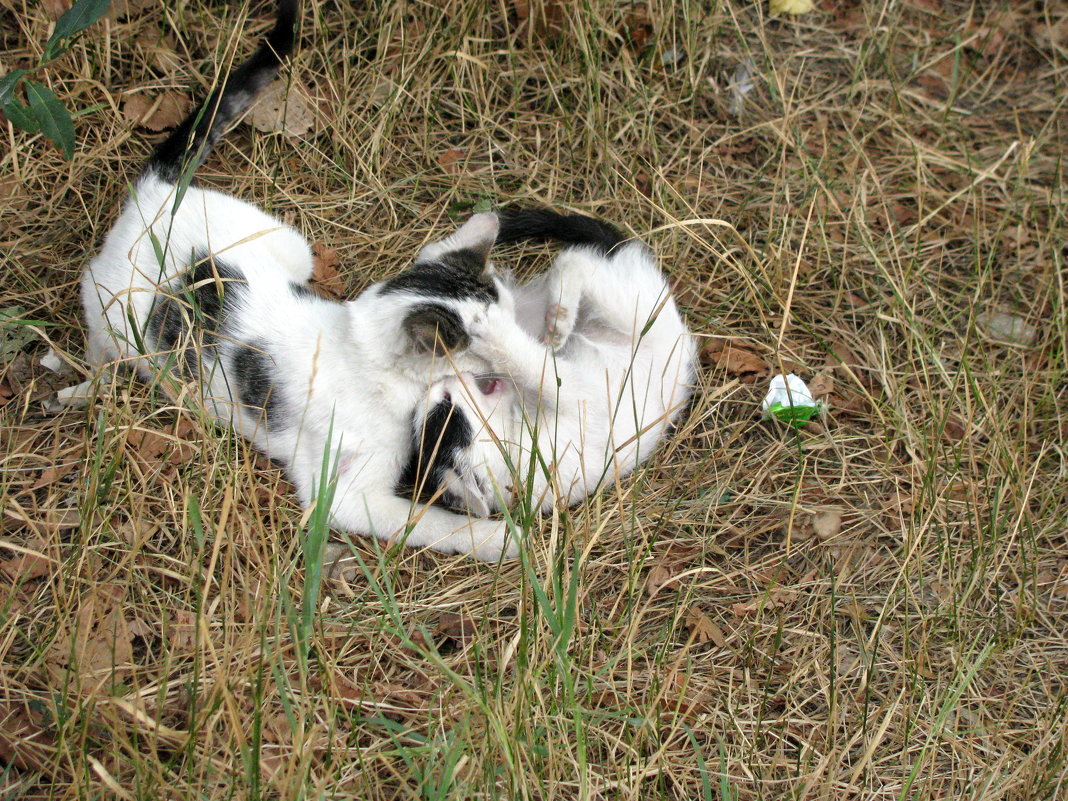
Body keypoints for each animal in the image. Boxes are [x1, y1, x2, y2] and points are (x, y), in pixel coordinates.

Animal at [81, 1, 519, 559]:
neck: (358, 348)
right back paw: (88, 383)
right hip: (110, 310)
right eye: (491, 361)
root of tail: (155, 194)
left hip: (290, 243)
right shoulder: (342, 494)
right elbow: (431, 523)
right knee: (99, 336)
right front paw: (503, 539)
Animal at [401, 207, 700, 516]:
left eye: (445, 400)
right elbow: (538, 369)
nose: (444, 379)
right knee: (578, 260)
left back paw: (558, 310)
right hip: (636, 310)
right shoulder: (578, 399)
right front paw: (494, 334)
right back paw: (559, 315)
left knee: (575, 260)